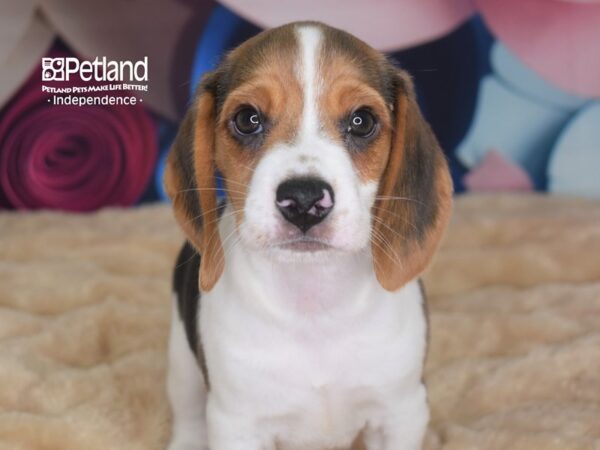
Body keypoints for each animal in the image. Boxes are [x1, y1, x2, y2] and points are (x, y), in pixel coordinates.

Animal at [164, 20, 450, 450]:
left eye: (362, 121)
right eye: (247, 118)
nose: (302, 199)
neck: (313, 299)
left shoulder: (400, 411)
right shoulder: (237, 424)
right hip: (182, 362)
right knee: (187, 418)